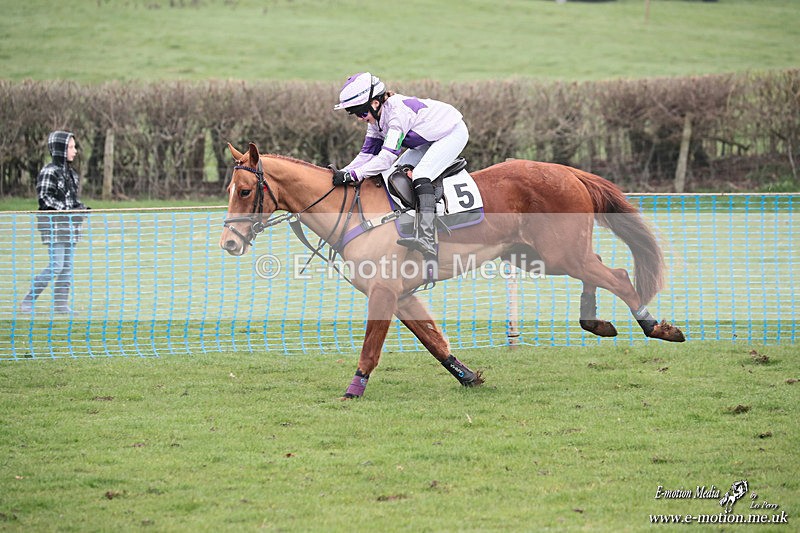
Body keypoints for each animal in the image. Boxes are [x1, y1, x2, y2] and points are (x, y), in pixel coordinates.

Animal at [220, 142, 685, 399]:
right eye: (230, 190)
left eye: (244, 190)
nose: (228, 243)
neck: (352, 213)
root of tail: (567, 170)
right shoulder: (402, 294)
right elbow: (433, 340)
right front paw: (468, 377)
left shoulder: (384, 291)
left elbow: (371, 347)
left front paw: (353, 389)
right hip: (542, 255)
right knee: (600, 268)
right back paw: (596, 320)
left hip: (557, 254)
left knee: (618, 275)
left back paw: (656, 327)